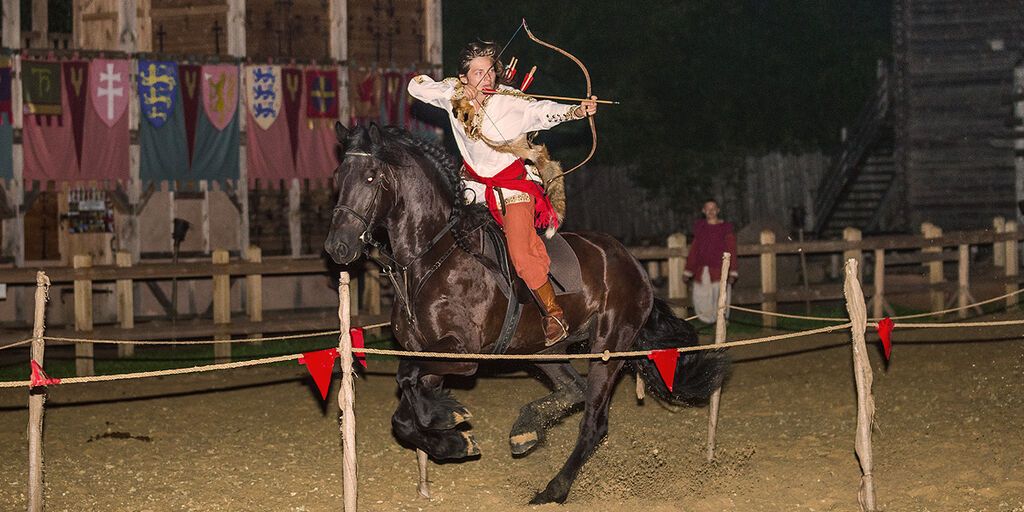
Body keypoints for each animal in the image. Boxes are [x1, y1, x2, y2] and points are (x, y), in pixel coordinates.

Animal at [323, 123, 724, 503]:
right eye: (338, 177)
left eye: (371, 176)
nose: (338, 246)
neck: (432, 258)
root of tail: (634, 264)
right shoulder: (429, 357)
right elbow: (405, 415)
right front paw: (451, 435)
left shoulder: (462, 356)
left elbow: (406, 380)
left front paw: (450, 421)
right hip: (545, 351)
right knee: (574, 390)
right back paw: (526, 430)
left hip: (609, 348)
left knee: (594, 421)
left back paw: (554, 488)